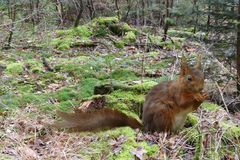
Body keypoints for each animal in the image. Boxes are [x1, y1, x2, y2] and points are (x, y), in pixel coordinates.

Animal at [53, 54, 208, 132]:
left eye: (203, 76)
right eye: (189, 78)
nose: (201, 88)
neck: (182, 87)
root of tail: (146, 128)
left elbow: (193, 108)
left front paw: (204, 96)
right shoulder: (175, 93)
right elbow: (182, 102)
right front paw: (197, 96)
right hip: (163, 114)